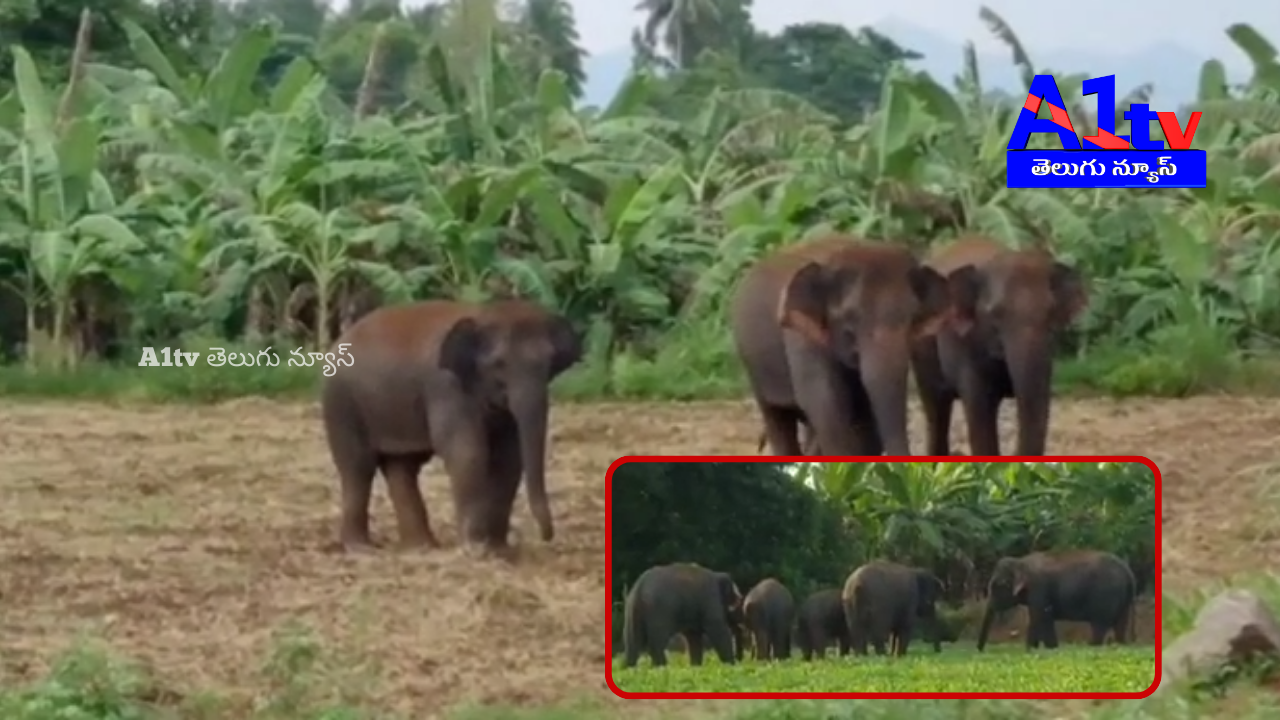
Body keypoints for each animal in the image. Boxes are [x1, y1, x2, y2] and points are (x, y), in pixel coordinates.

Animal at [320, 299, 582, 554]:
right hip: (341, 404)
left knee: (402, 467)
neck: (483, 313)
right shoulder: (447, 388)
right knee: (358, 467)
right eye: (499, 363)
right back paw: (362, 549)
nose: (547, 537)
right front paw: (476, 549)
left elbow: (509, 458)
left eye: (550, 361)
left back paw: (421, 547)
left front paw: (500, 550)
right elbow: (467, 452)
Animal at [730, 236, 972, 457]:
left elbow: (865, 418)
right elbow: (825, 402)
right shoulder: (801, 338)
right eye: (850, 318)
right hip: (754, 367)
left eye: (912, 318)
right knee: (777, 419)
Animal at [977, 550, 1137, 651]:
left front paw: (1050, 648)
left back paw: (1092, 646)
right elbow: (1036, 619)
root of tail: (1128, 572)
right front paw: (1031, 649)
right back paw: (1120, 645)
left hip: (1105, 596)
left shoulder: (1039, 588)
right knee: (1120, 624)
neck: (1021, 560)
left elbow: (1042, 617)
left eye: (998, 585)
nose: (980, 650)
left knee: (1100, 624)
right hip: (1123, 600)